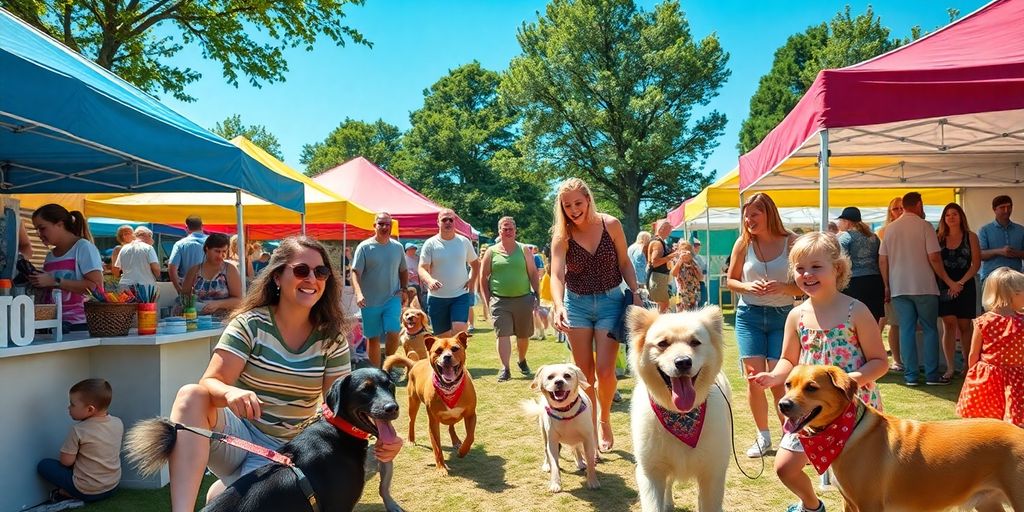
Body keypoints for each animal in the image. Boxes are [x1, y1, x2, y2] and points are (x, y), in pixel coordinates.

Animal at [385, 331, 477, 471]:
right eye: (438, 350)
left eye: (455, 349)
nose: (447, 357)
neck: (449, 388)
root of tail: (415, 363)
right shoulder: (433, 422)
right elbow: (437, 447)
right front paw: (441, 469)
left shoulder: (471, 414)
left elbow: (470, 436)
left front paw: (462, 451)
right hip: (413, 402)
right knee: (411, 421)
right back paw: (411, 439)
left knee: (451, 425)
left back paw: (456, 441)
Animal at [520, 362, 598, 493]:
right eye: (550, 377)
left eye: (567, 376)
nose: (559, 382)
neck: (565, 412)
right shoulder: (552, 441)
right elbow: (554, 464)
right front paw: (555, 484)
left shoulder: (587, 438)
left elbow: (590, 460)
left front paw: (592, 481)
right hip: (544, 434)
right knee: (546, 451)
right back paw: (546, 465)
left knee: (576, 447)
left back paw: (580, 462)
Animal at [626, 305, 733, 509]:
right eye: (663, 344)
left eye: (695, 342)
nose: (683, 361)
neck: (682, 417)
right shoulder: (650, 472)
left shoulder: (712, 473)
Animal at [774, 366, 1024, 509]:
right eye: (788, 384)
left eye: (811, 387)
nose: (783, 405)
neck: (846, 430)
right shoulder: (850, 502)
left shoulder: (869, 504)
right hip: (988, 502)